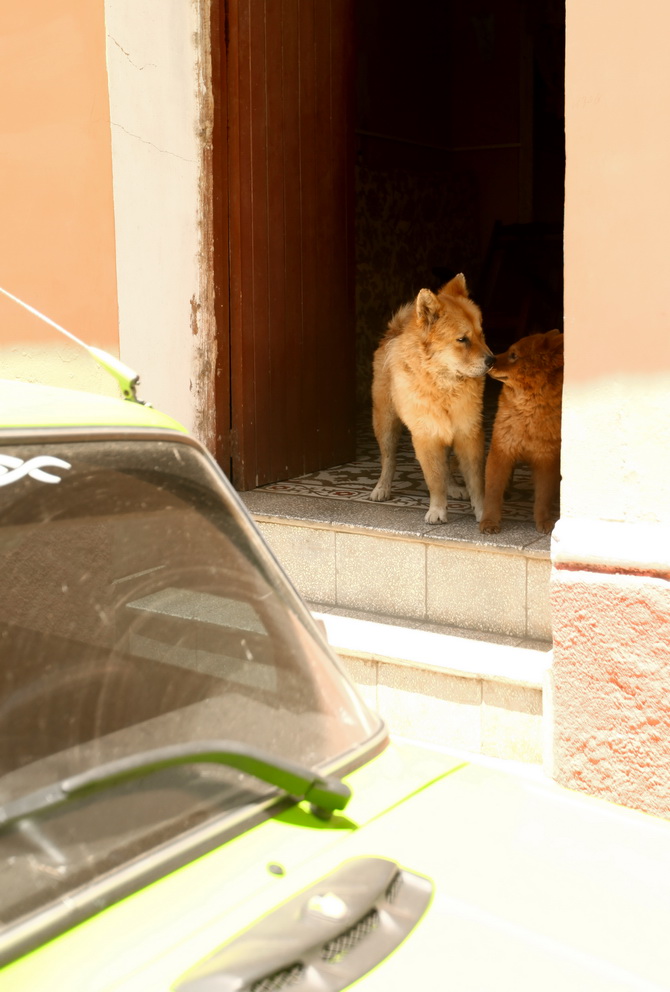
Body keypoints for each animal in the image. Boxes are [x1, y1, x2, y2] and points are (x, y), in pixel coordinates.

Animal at [480, 330, 564, 536]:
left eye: (514, 355)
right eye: (510, 351)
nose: (490, 360)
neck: (527, 411)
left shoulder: (546, 458)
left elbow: (543, 496)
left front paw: (544, 521)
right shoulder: (501, 449)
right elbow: (493, 493)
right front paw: (489, 522)